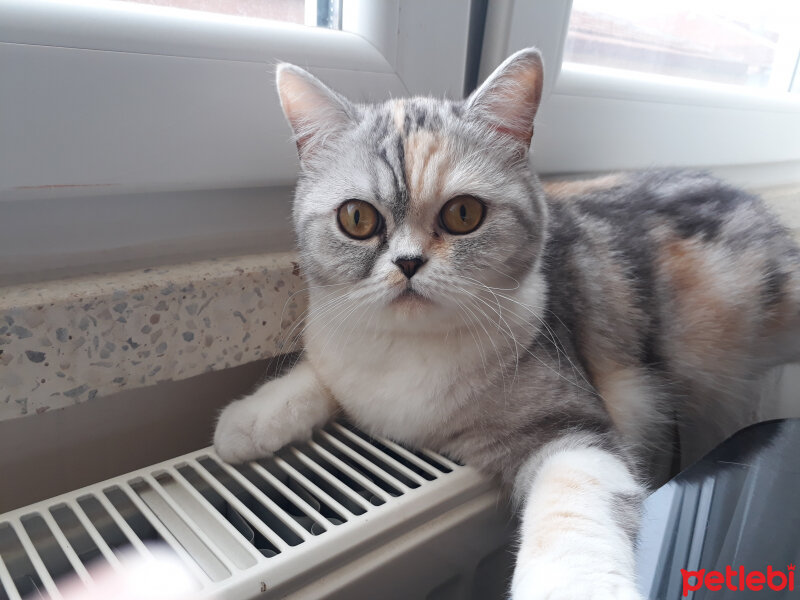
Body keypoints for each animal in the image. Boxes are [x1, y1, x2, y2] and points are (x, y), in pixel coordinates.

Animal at [212, 49, 800, 596]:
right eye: (357, 218)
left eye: (463, 214)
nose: (408, 263)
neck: (410, 351)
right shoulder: (340, 349)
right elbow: (315, 375)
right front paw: (246, 423)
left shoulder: (573, 423)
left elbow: (572, 510)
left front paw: (572, 585)